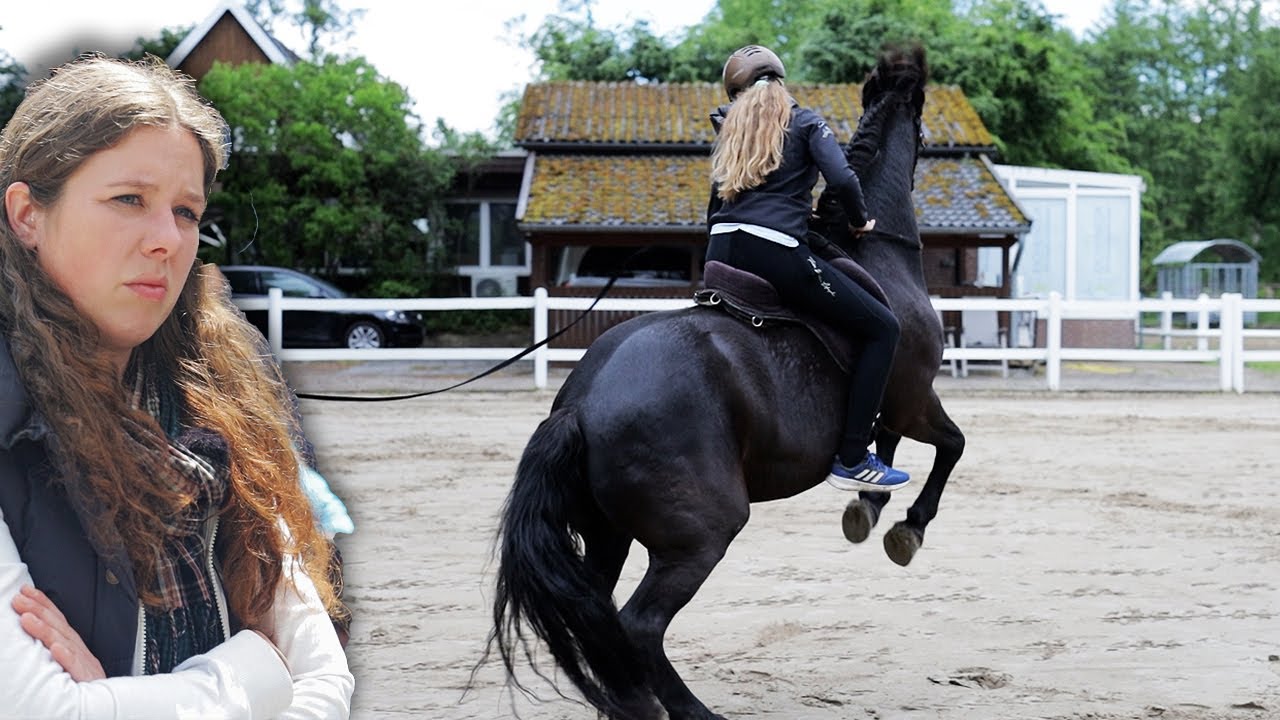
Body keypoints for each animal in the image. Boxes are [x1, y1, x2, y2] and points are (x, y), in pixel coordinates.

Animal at [486, 44, 962, 717]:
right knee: (638, 624)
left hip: (607, 533)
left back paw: (631, 703)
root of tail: (580, 404)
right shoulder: (915, 399)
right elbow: (951, 446)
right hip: (701, 536)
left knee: (599, 614)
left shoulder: (894, 408)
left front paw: (869, 504)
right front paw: (906, 526)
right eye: (922, 126)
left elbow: (891, 446)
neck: (875, 255)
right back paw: (684, 709)